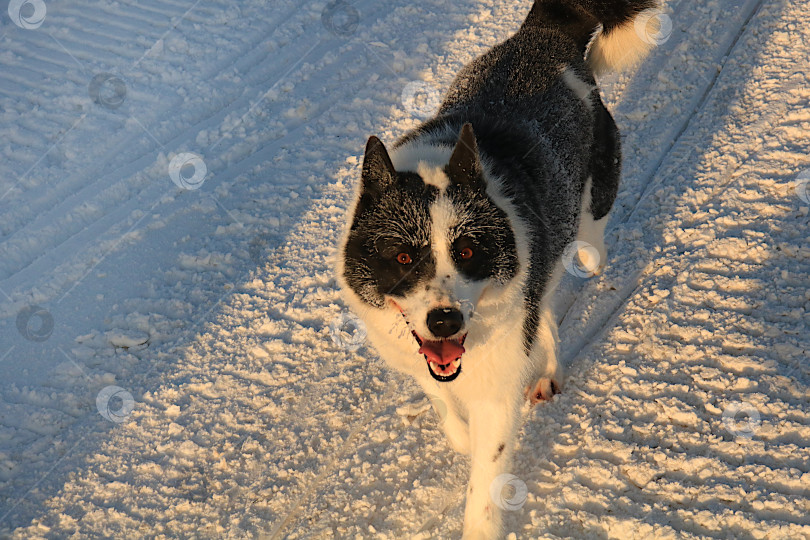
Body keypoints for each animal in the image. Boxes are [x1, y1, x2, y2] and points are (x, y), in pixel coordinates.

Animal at [334, 2, 656, 536]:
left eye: (466, 252)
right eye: (403, 257)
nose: (445, 320)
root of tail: (544, 33)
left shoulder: (497, 392)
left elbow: (484, 487)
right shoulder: (423, 361)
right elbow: (444, 406)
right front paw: (458, 432)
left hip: (587, 227)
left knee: (572, 273)